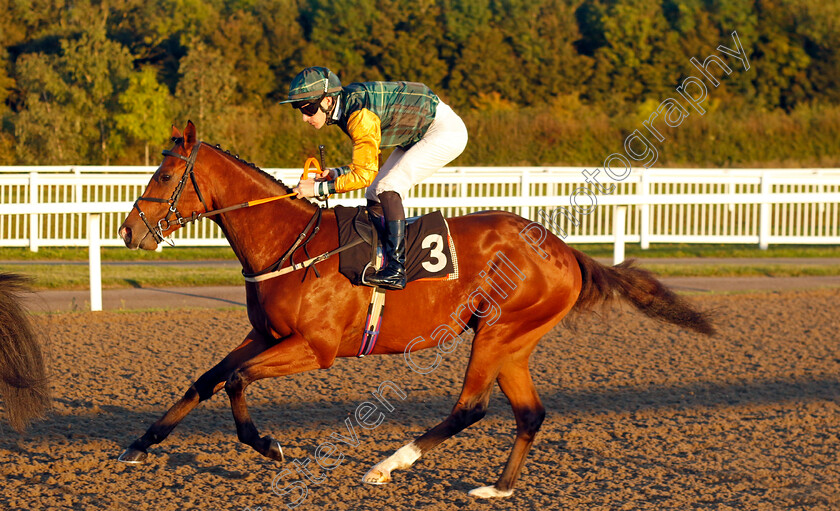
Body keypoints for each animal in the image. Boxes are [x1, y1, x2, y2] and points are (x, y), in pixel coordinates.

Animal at [115, 121, 712, 500]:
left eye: (164, 175)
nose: (127, 231)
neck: (288, 242)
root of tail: (566, 250)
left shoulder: (315, 348)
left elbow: (236, 381)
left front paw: (269, 445)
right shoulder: (265, 334)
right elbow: (206, 380)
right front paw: (139, 445)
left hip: (497, 331)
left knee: (472, 408)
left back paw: (386, 466)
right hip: (515, 341)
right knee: (529, 413)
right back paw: (498, 487)